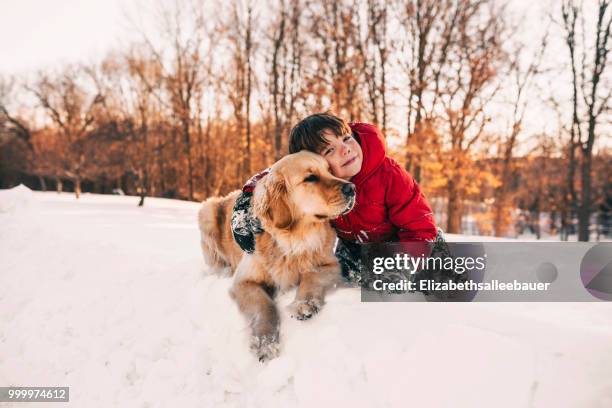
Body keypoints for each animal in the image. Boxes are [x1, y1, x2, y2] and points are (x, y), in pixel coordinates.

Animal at [198, 150, 356, 360]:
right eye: (310, 178)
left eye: (330, 170)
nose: (352, 188)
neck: (293, 241)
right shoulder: (244, 282)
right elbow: (265, 305)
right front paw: (265, 342)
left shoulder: (331, 265)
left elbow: (312, 276)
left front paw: (303, 304)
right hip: (207, 212)